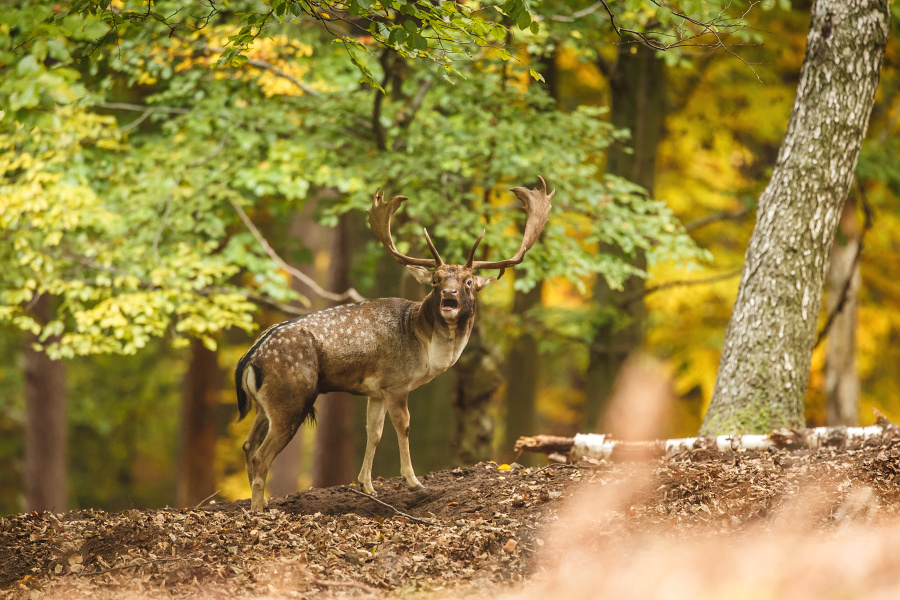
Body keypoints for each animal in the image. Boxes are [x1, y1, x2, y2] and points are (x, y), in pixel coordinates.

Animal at [236, 177, 552, 510]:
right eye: (437, 280)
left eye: (468, 281)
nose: (449, 296)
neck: (424, 349)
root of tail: (250, 358)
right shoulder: (397, 382)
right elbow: (404, 426)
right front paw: (414, 482)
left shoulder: (377, 390)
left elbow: (374, 432)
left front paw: (367, 485)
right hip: (292, 398)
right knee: (260, 454)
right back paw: (259, 509)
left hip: (264, 405)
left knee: (247, 445)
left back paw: (260, 502)